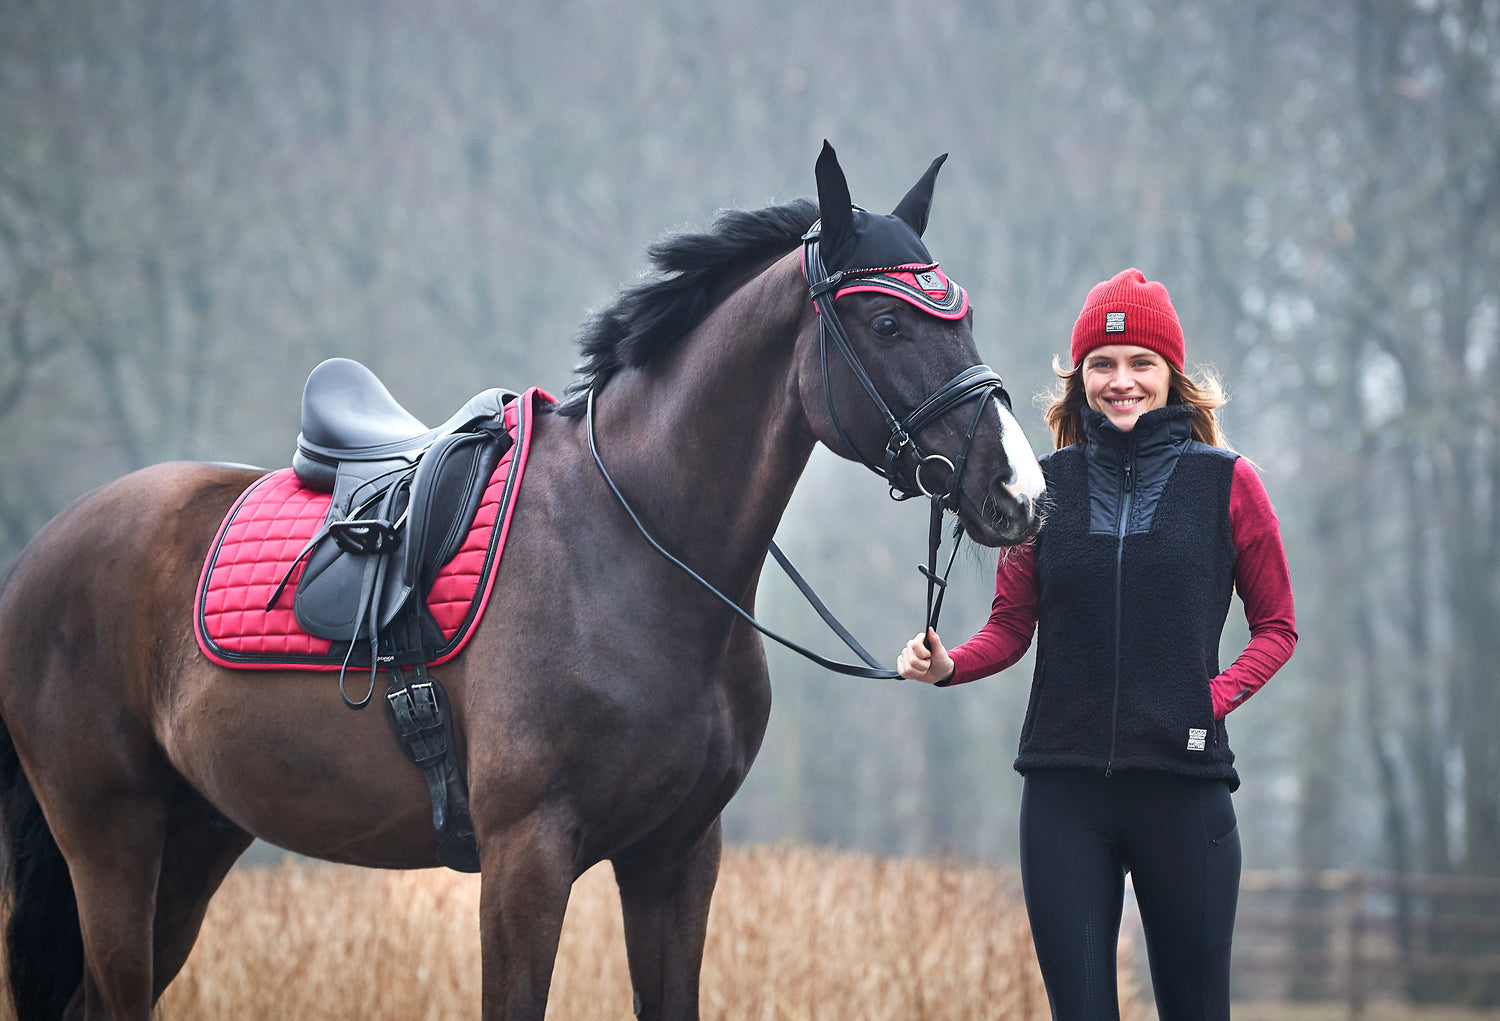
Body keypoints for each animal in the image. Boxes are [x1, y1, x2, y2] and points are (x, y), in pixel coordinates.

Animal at [0, 145, 1044, 1019]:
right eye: (886, 319)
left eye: (963, 316)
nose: (1020, 493)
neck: (634, 550)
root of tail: (43, 551)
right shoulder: (526, 857)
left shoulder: (675, 857)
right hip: (110, 841)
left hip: (195, 837)